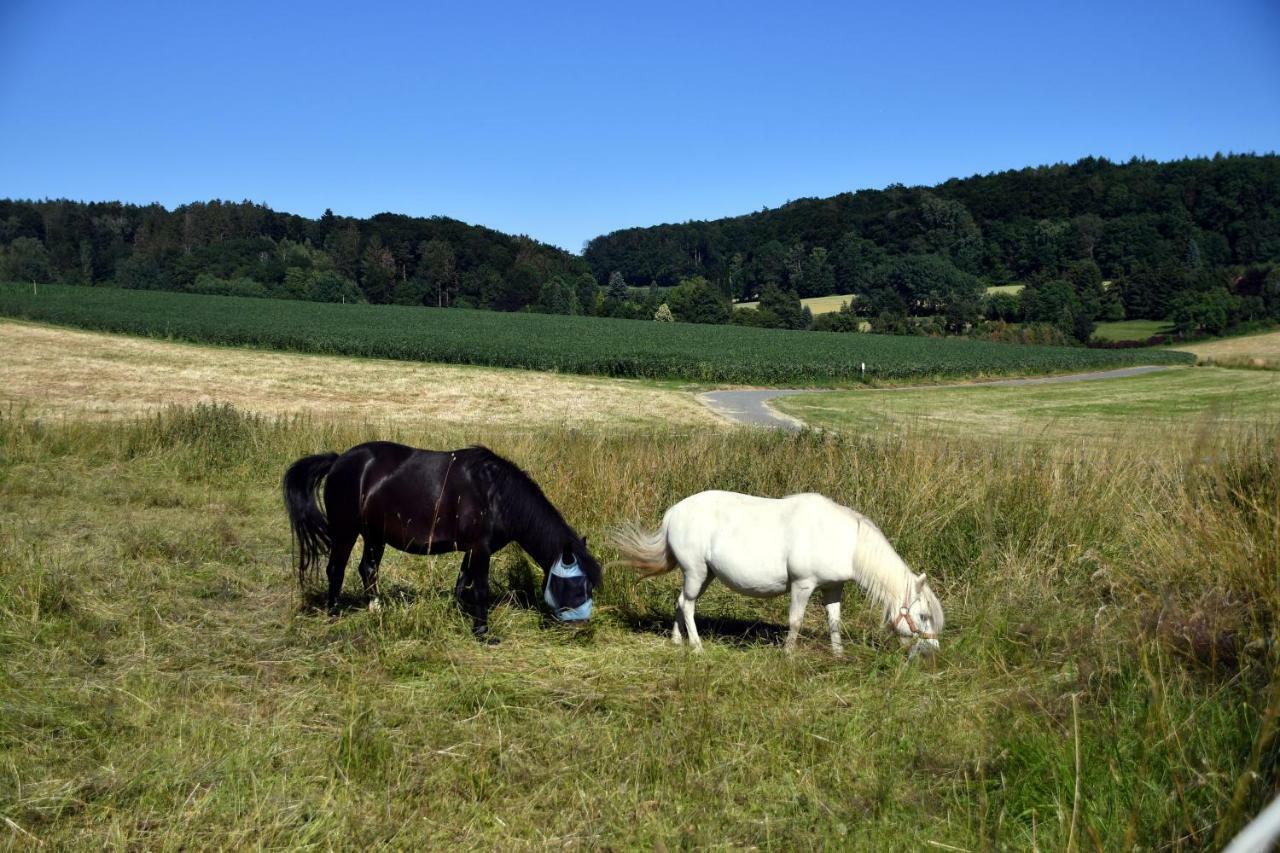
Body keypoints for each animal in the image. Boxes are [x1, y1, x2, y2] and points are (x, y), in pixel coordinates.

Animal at [282, 440, 601, 635]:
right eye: (576, 585)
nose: (580, 627)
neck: (495, 494)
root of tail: (338, 461)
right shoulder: (480, 549)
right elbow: (480, 587)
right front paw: (484, 633)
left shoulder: (472, 550)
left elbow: (462, 584)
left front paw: (459, 616)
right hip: (346, 531)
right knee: (335, 568)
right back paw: (334, 613)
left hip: (375, 535)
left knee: (368, 568)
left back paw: (376, 609)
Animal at [614, 489, 947, 653]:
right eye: (923, 616)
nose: (932, 651)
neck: (840, 538)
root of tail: (673, 513)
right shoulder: (803, 585)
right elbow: (796, 621)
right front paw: (787, 654)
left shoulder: (832, 588)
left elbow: (834, 622)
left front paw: (838, 655)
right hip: (696, 572)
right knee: (688, 605)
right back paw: (696, 647)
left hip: (703, 575)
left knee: (681, 601)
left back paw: (676, 641)